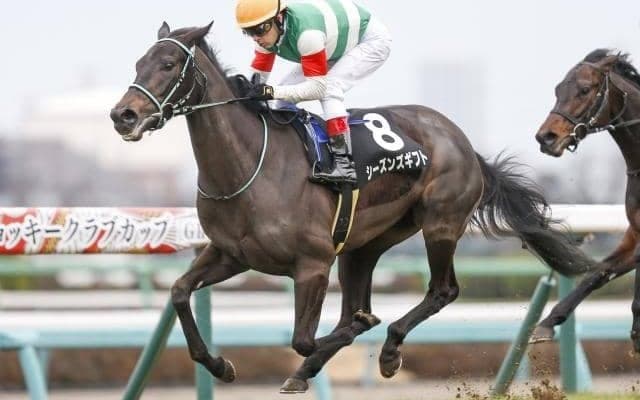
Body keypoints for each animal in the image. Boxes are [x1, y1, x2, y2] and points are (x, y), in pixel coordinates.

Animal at [110, 22, 595, 393]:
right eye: (137, 65)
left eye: (168, 65)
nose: (123, 115)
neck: (248, 166)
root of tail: (462, 141)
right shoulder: (231, 254)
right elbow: (179, 293)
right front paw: (220, 365)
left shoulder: (313, 264)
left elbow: (307, 338)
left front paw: (352, 341)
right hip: (365, 245)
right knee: (363, 301)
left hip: (440, 223)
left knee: (442, 291)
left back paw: (389, 349)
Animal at [532, 49, 640, 352]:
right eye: (557, 90)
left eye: (584, 89)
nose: (546, 137)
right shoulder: (634, 234)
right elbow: (599, 272)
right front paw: (546, 324)